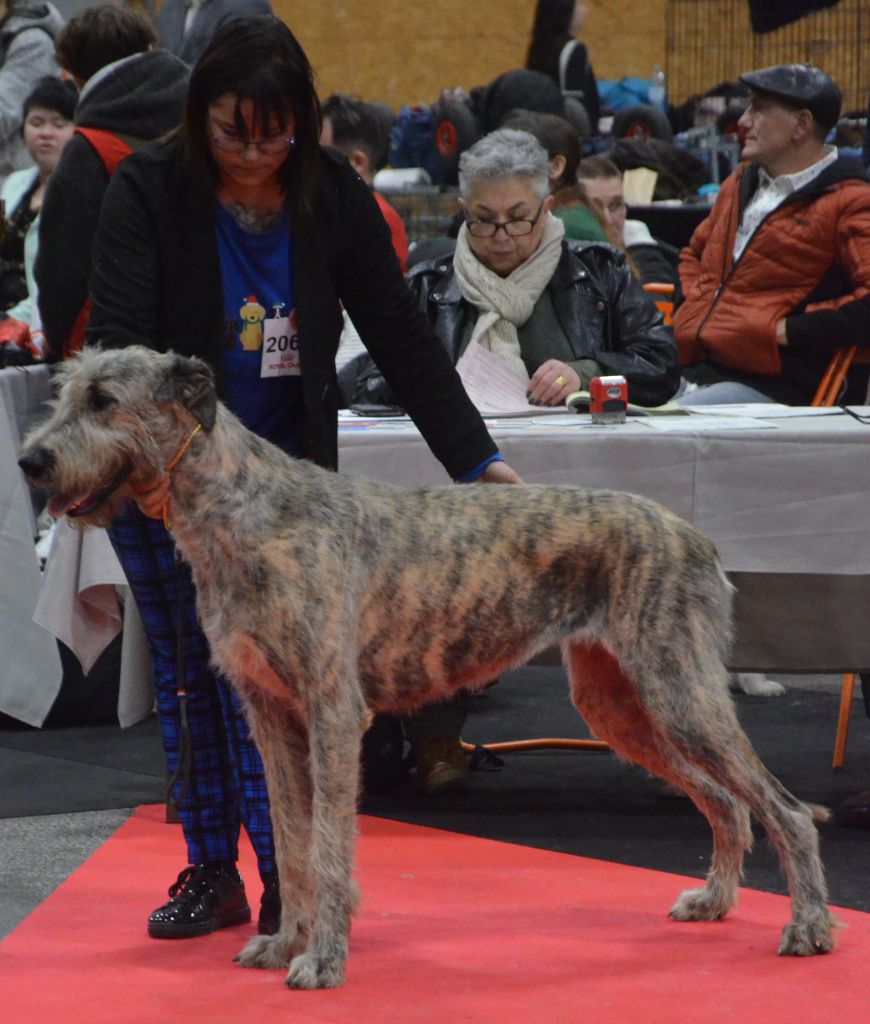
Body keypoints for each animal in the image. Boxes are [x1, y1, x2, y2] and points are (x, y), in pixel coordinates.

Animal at [18, 348, 835, 987]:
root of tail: (693, 534)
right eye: (62, 391)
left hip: (678, 692)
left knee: (784, 808)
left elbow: (328, 846)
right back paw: (715, 900)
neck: (246, 513)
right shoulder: (269, 714)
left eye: (103, 399)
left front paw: (322, 960)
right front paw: (284, 941)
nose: (30, 461)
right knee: (727, 801)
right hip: (620, 704)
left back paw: (809, 928)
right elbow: (289, 837)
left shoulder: (333, 712)